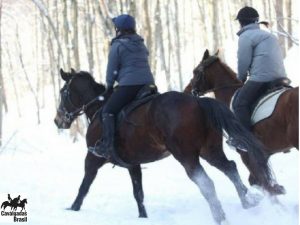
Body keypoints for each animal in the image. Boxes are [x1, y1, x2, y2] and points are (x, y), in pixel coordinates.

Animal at [54, 69, 274, 225]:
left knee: (206, 183)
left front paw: (73, 209)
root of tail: (198, 101)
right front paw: (143, 218)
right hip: (210, 150)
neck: (99, 107)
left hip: (186, 156)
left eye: (63, 92)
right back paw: (247, 201)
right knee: (230, 168)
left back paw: (220, 216)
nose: (58, 120)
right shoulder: (133, 165)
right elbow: (138, 194)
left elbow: (84, 186)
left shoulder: (93, 158)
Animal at [186, 50, 298, 194]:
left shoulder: (246, 154)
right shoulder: (262, 155)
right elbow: (260, 182)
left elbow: (262, 183)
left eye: (196, 72)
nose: (189, 91)